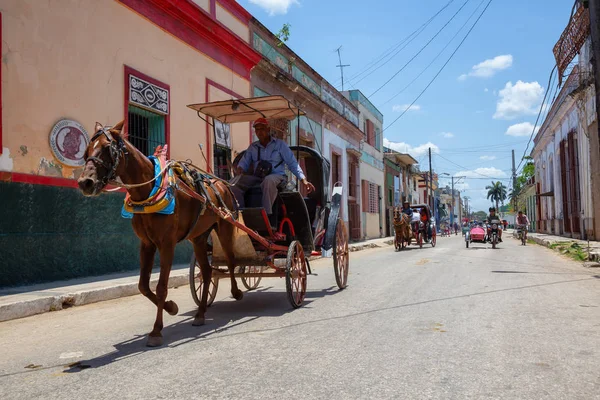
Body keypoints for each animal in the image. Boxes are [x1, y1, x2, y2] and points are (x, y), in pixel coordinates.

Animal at [77, 122, 241, 346]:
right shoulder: (146, 244)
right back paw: (200, 313)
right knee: (207, 272)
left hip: (225, 227)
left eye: (107, 148)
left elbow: (162, 286)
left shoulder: (166, 244)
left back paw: (236, 292)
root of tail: (222, 183)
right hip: (198, 237)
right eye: (86, 152)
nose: (85, 182)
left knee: (231, 261)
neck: (147, 191)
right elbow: (143, 286)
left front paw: (156, 330)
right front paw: (171, 307)